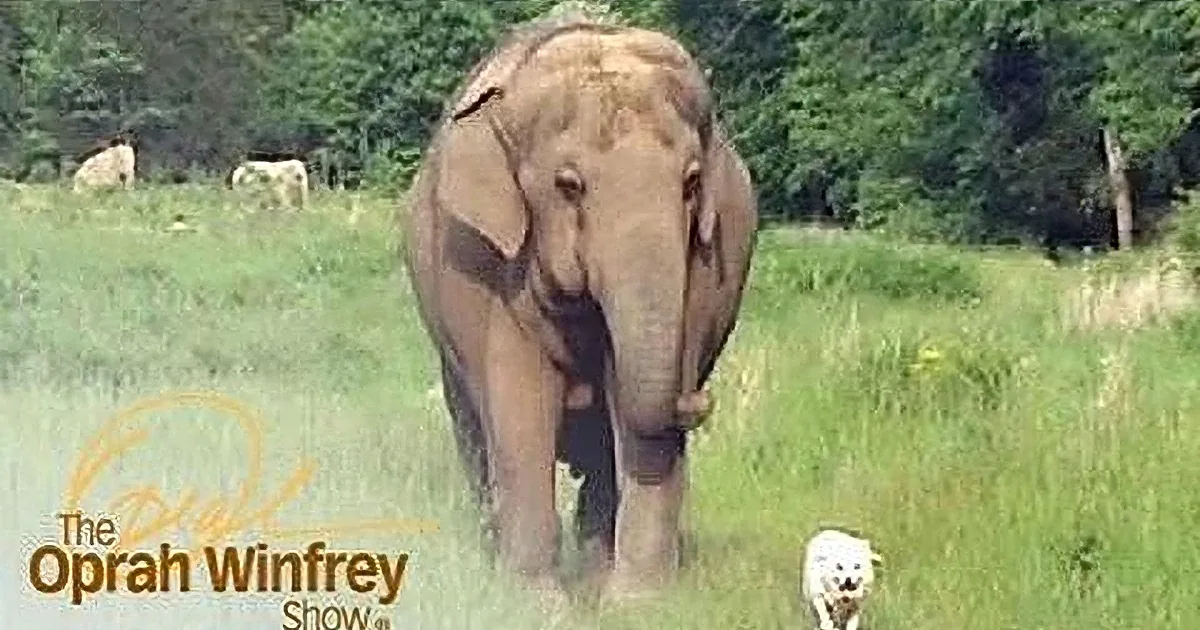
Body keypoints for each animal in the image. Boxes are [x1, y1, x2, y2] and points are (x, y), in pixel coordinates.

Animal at [401, 14, 758, 604]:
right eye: (568, 186)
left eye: (691, 182)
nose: (698, 397)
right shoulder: (485, 265)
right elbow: (520, 403)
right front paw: (535, 603)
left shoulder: (706, 264)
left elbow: (635, 420)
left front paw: (636, 604)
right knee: (472, 424)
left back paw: (592, 567)